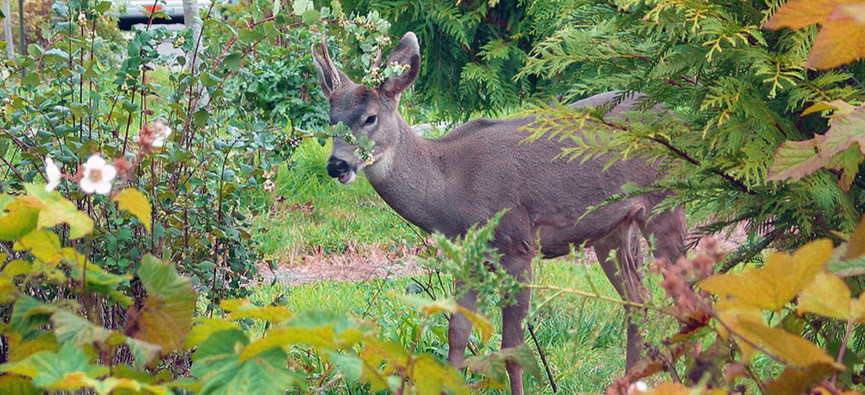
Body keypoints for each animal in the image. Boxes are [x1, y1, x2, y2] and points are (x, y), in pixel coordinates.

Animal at [310, 31, 680, 395]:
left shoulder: (517, 246)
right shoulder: (466, 260)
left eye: (370, 118)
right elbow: (457, 337)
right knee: (638, 300)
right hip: (613, 230)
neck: (449, 189)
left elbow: (511, 349)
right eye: (331, 121)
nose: (336, 165)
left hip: (665, 202)